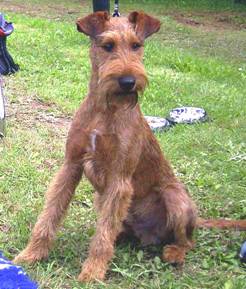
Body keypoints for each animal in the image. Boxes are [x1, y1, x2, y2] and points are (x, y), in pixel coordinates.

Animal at [13, 11, 246, 282]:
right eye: (107, 46)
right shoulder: (71, 166)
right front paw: (31, 254)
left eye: (137, 45)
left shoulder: (119, 179)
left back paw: (174, 253)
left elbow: (102, 237)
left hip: (175, 196)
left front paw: (92, 272)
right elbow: (50, 215)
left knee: (187, 241)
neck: (105, 111)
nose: (128, 81)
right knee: (117, 228)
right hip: (102, 197)